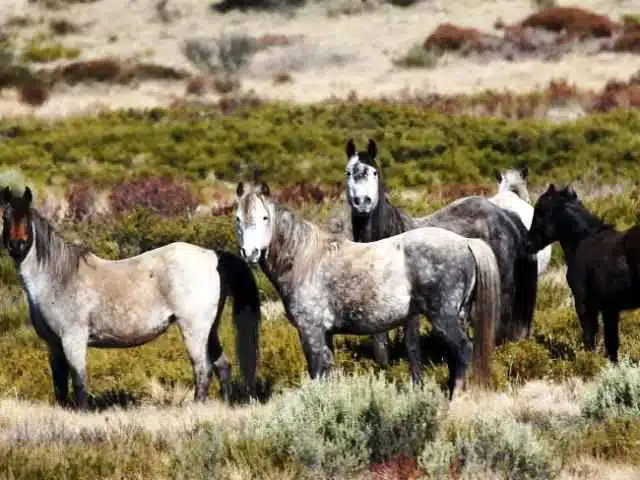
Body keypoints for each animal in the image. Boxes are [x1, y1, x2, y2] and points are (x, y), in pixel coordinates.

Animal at [524, 182, 640, 362]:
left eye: (540, 211)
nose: (528, 244)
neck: (582, 240)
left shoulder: (585, 304)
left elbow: (590, 338)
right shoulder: (610, 309)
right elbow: (612, 345)